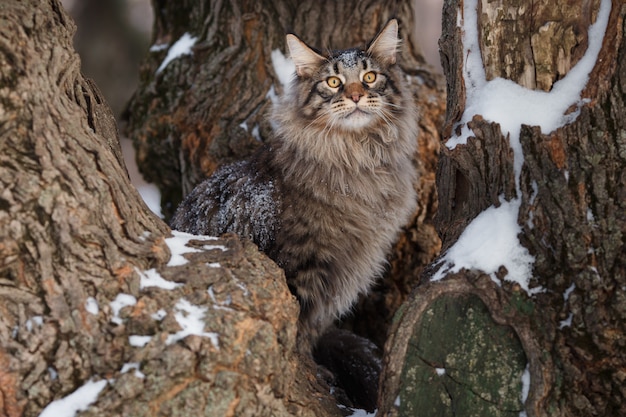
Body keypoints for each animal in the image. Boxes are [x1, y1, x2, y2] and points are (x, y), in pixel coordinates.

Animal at [168, 19, 416, 406]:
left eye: (370, 77)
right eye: (334, 82)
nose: (356, 95)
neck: (358, 159)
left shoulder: (333, 280)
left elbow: (310, 331)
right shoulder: (300, 267)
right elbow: (297, 332)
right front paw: (311, 373)